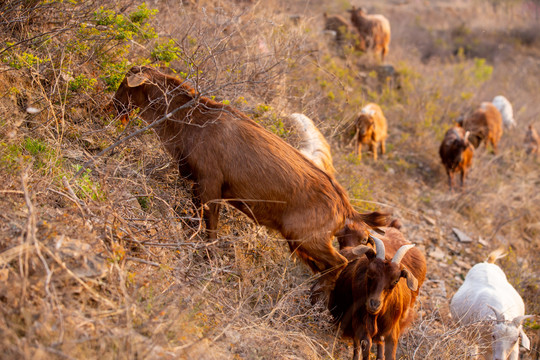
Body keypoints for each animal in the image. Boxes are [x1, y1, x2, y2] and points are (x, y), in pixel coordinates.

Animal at [110, 65, 388, 292]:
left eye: (124, 83)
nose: (112, 108)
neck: (196, 122)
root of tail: (345, 206)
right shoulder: (196, 184)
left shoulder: (210, 186)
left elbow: (210, 227)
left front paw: (208, 259)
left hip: (305, 237)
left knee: (340, 261)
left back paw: (319, 292)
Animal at [330, 229, 426, 360]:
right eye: (370, 272)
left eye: (396, 280)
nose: (374, 304)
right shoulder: (360, 323)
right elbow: (365, 344)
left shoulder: (392, 329)